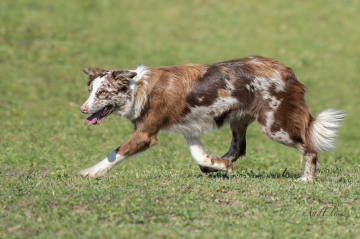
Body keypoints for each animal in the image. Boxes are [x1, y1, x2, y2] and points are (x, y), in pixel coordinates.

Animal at [79, 56, 346, 181]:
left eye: (103, 93)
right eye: (90, 91)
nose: (82, 109)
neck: (138, 88)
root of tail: (286, 70)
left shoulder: (145, 134)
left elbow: (114, 154)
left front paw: (90, 172)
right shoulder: (189, 130)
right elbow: (199, 155)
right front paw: (214, 164)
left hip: (275, 126)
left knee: (310, 149)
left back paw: (307, 179)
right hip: (239, 121)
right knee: (238, 149)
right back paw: (220, 164)